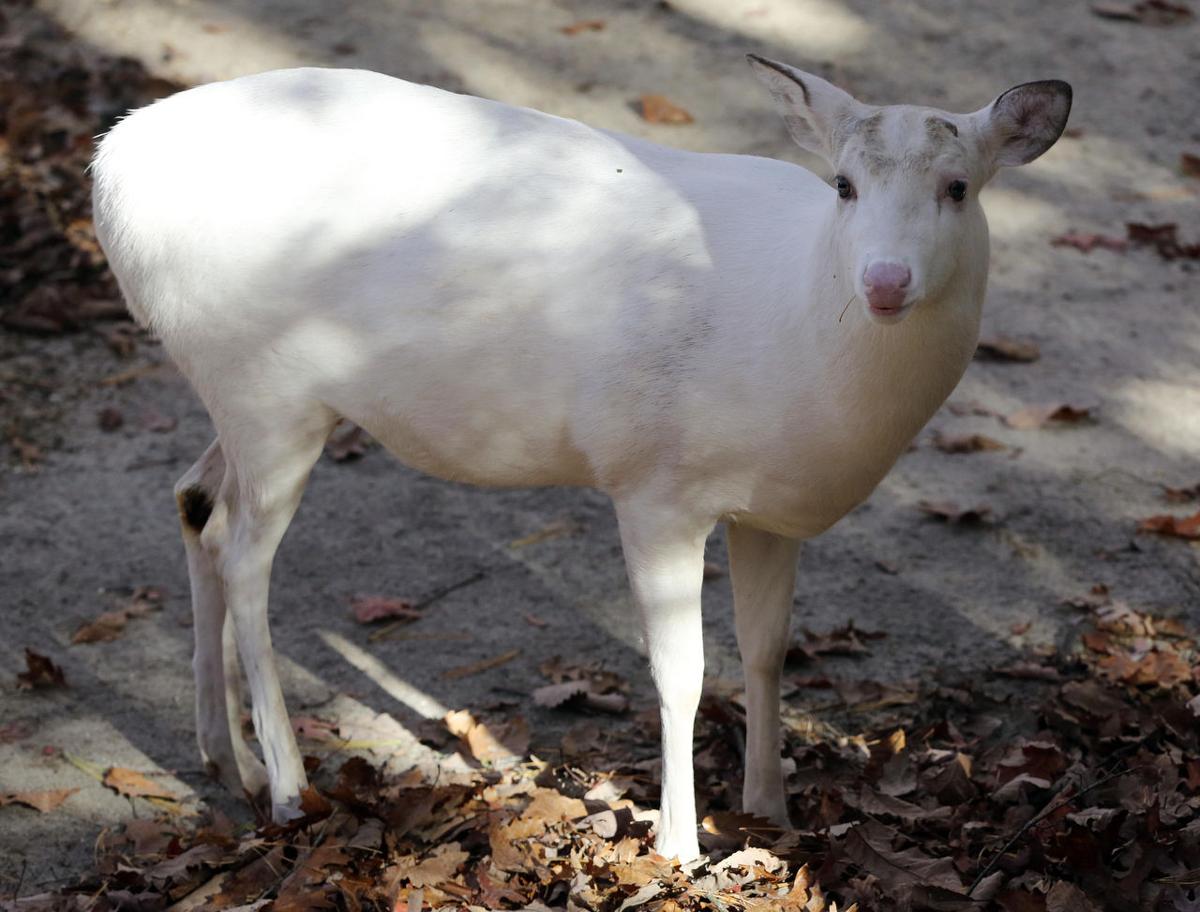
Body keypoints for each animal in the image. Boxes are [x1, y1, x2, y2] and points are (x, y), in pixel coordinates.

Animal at [91, 56, 1070, 862]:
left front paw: (772, 813)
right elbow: (683, 671)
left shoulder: (769, 510)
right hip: (266, 388)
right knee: (243, 554)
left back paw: (229, 761)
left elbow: (766, 652)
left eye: (958, 186)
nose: (885, 281)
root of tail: (109, 172)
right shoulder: (654, 484)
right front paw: (681, 845)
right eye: (844, 184)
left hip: (246, 393)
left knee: (193, 499)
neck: (797, 333)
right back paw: (291, 790)